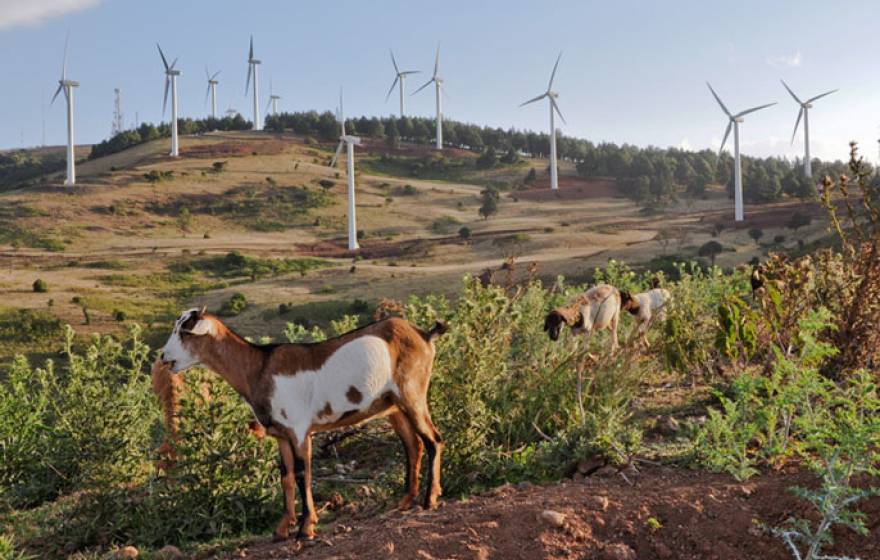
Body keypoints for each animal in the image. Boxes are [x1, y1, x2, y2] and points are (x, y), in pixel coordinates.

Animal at [159, 308, 446, 540]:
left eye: (184, 332)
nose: (163, 356)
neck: (258, 367)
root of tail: (423, 334)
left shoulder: (298, 430)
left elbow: (302, 474)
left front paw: (306, 527)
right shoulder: (281, 434)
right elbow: (285, 477)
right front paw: (282, 528)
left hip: (412, 392)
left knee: (433, 439)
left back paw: (430, 498)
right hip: (392, 405)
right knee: (413, 445)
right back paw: (406, 500)